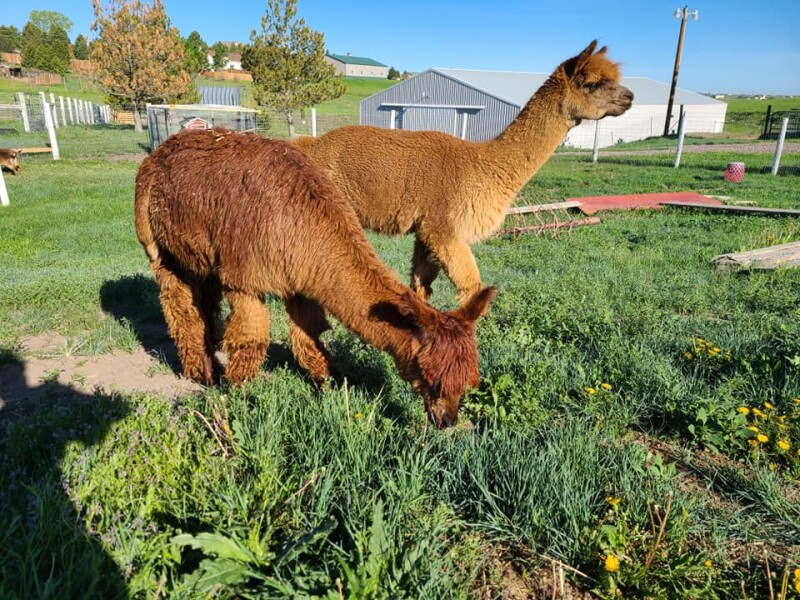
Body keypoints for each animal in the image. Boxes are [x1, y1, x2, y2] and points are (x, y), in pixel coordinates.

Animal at [134, 128, 495, 428]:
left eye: (468, 383)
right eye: (433, 378)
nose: (447, 421)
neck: (299, 223)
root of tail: (162, 147)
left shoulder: (301, 281)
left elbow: (309, 339)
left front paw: (329, 387)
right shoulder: (244, 279)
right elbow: (250, 341)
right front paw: (239, 395)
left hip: (203, 257)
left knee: (204, 302)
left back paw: (209, 358)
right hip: (158, 246)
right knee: (180, 308)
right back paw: (201, 374)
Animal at [297, 41, 633, 304]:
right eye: (591, 83)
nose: (629, 96)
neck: (482, 165)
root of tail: (310, 145)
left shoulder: (425, 232)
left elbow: (421, 287)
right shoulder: (445, 230)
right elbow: (473, 289)